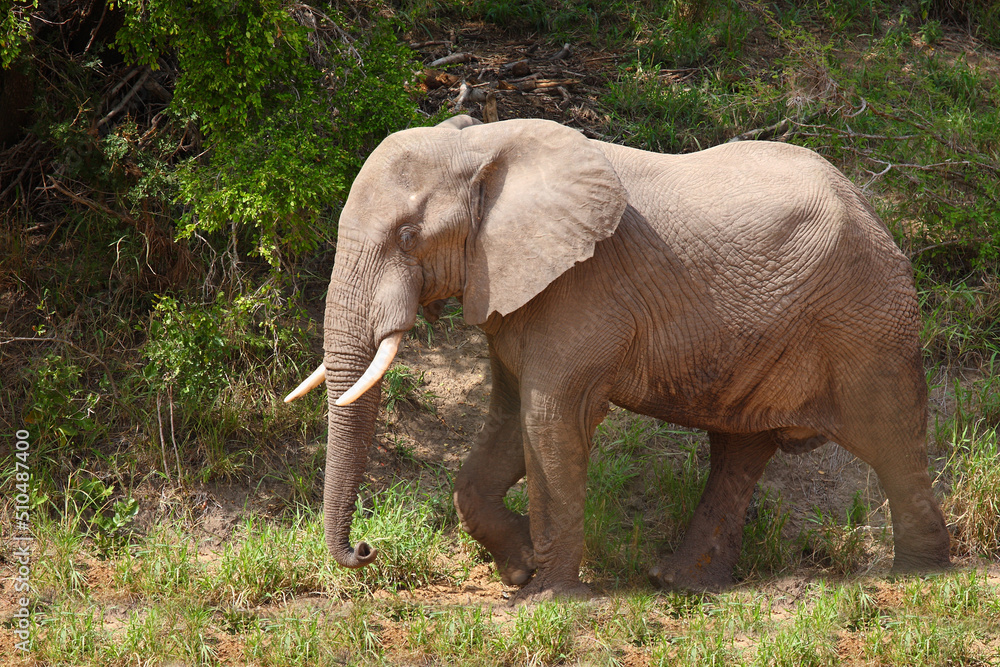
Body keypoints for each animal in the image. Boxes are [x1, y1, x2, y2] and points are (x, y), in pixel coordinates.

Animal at [286, 113, 948, 600]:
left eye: (407, 237)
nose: (365, 549)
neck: (483, 147)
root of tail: (873, 210)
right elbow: (507, 421)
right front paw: (521, 568)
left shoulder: (585, 290)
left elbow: (550, 420)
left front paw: (546, 597)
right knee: (739, 449)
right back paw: (681, 583)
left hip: (868, 318)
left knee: (890, 436)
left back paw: (920, 576)